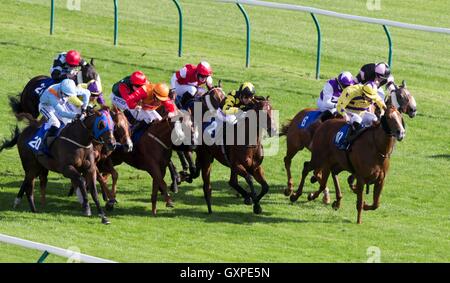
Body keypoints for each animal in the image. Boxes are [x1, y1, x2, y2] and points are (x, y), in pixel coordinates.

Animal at [280, 80, 416, 200]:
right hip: (295, 145)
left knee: (314, 170)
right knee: (288, 161)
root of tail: (299, 114)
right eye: (402, 96)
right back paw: (290, 188)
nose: (413, 110)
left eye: (410, 94)